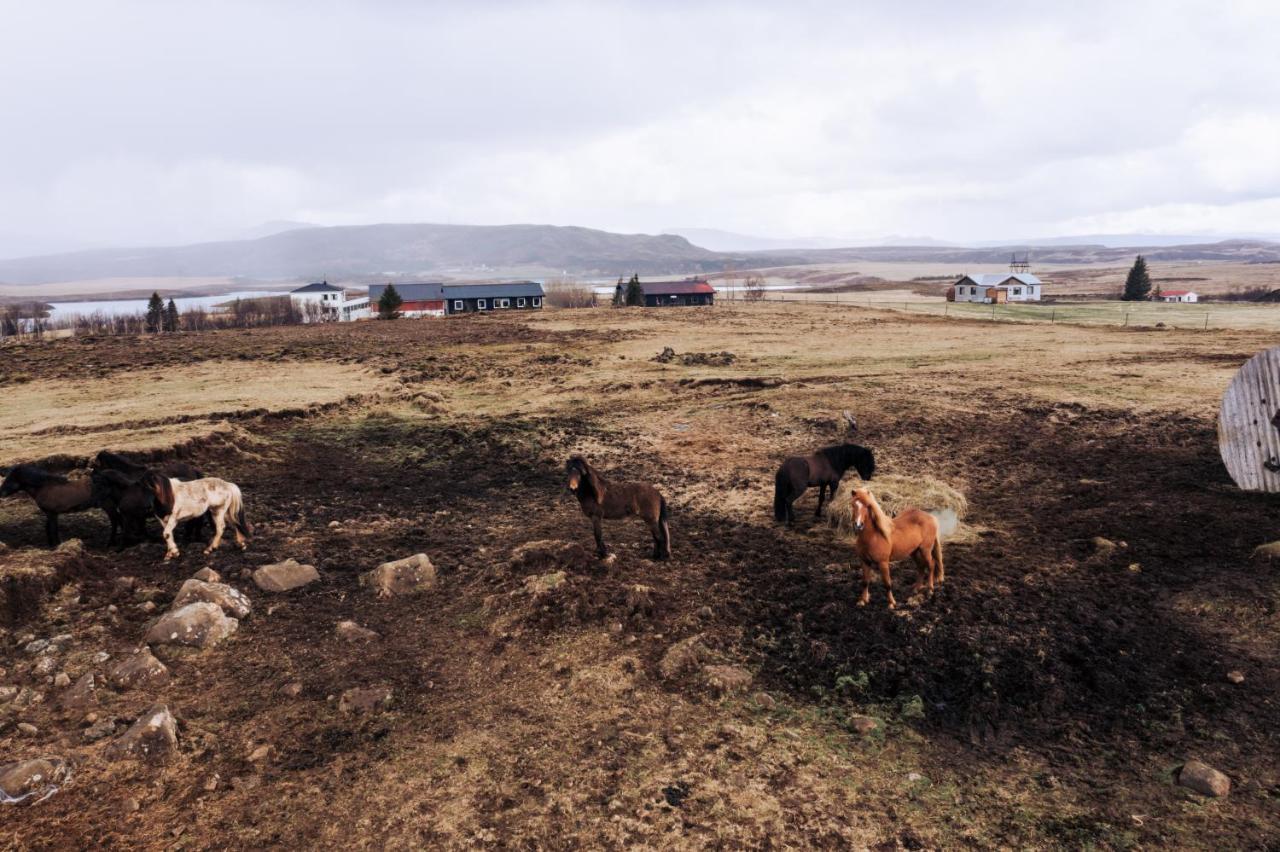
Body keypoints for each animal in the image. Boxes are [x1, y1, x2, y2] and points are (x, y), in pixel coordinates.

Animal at [849, 483, 942, 611]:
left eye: (867, 506)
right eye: (853, 505)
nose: (858, 525)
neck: (874, 536)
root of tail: (931, 517)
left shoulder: (883, 563)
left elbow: (887, 583)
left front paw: (892, 603)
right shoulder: (865, 562)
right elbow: (865, 582)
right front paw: (862, 601)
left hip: (925, 550)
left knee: (931, 565)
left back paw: (930, 590)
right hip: (914, 552)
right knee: (921, 567)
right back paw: (916, 589)